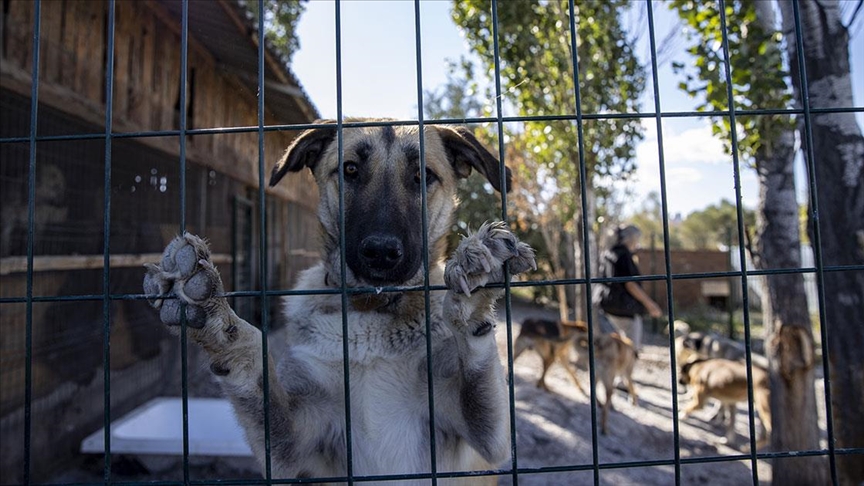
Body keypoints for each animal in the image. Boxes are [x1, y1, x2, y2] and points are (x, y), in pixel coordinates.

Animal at [143, 120, 536, 482]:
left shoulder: (488, 439)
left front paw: (475, 288)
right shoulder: (290, 448)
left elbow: (478, 367)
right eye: (350, 170)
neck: (371, 311)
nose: (381, 252)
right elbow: (253, 365)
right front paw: (216, 318)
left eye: (423, 175)